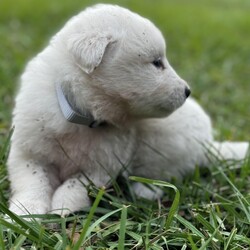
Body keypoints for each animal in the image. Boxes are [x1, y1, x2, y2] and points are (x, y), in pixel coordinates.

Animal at [7, 3, 248, 215]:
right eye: (156, 62)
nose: (187, 91)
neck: (82, 115)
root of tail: (209, 145)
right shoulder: (27, 152)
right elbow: (33, 181)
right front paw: (26, 211)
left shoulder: (103, 167)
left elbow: (75, 185)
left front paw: (62, 208)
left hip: (167, 143)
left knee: (168, 172)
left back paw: (146, 190)